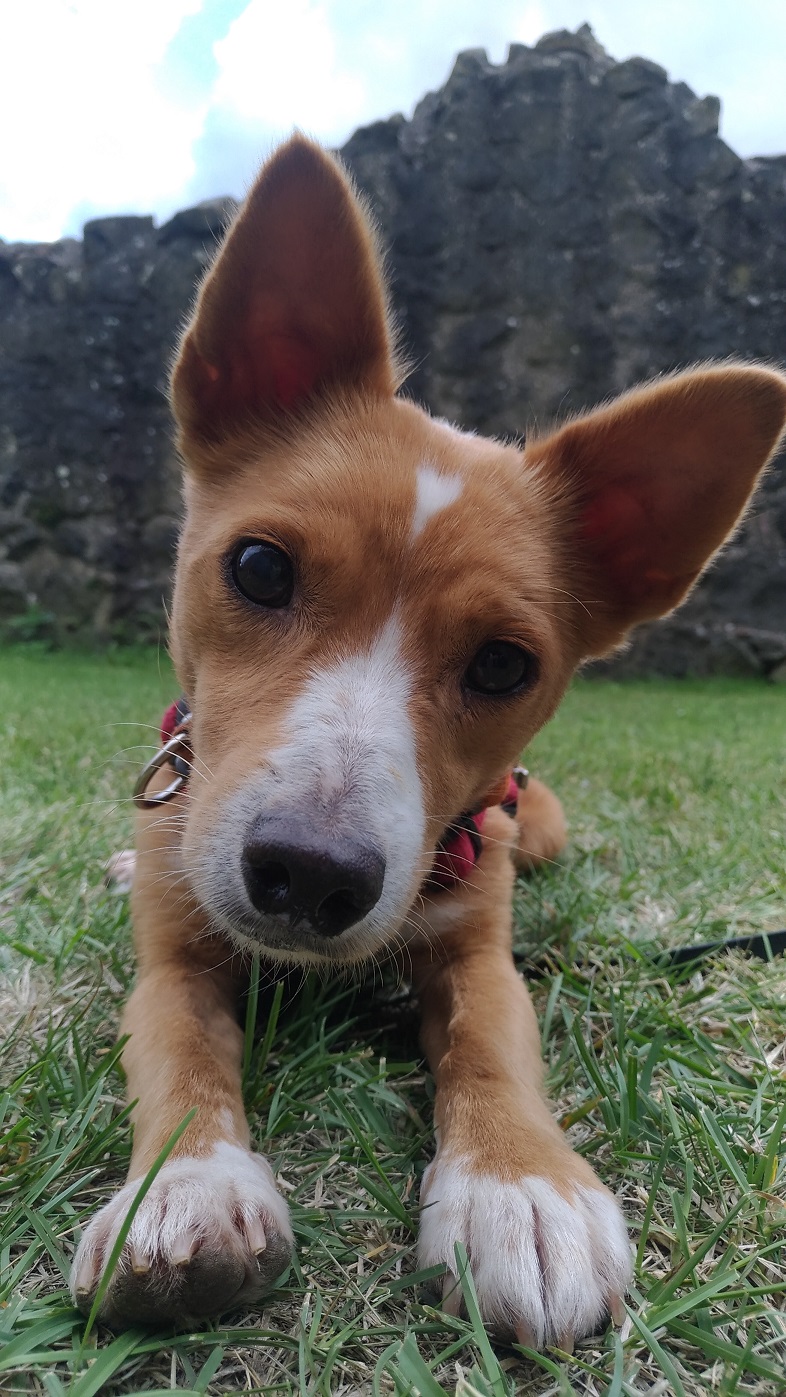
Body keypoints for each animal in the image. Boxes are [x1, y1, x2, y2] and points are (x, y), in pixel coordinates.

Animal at [70, 136, 786, 1347]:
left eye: (502, 664)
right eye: (258, 567)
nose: (311, 876)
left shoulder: (478, 957)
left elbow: (496, 1044)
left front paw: (523, 1189)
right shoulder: (171, 959)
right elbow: (177, 1051)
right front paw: (189, 1185)